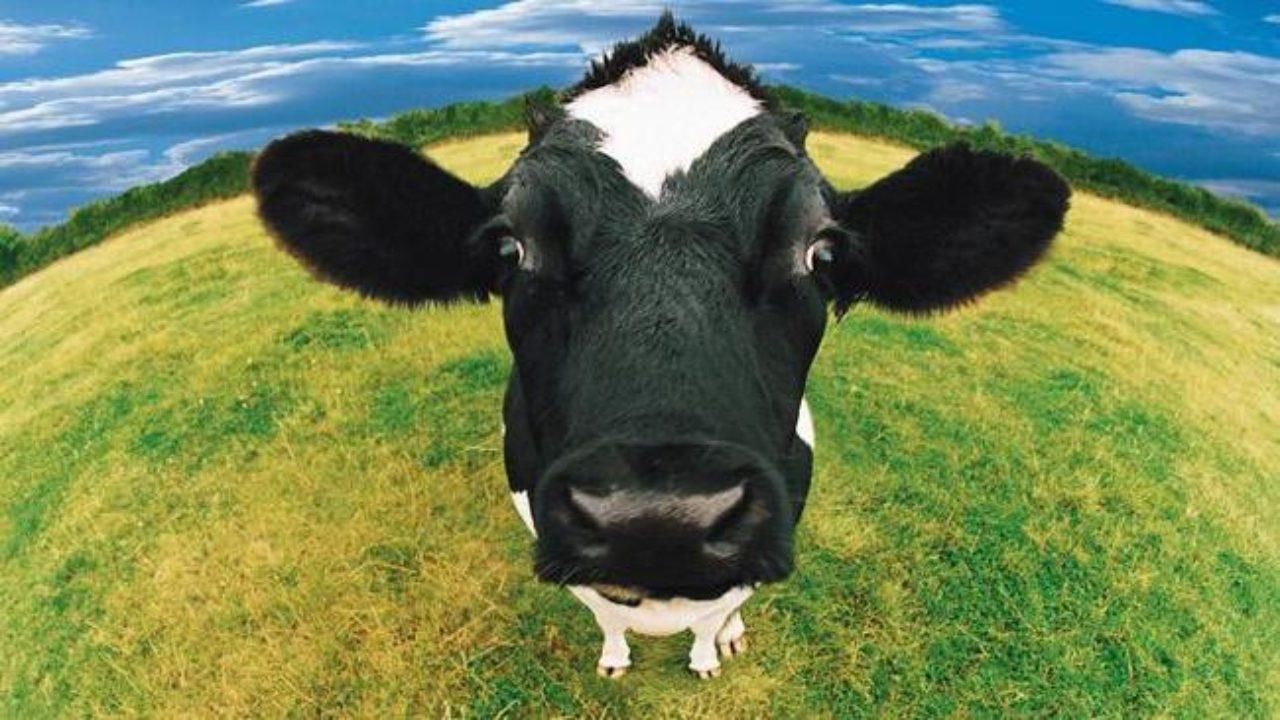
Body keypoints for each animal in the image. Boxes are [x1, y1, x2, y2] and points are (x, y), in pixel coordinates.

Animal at [251, 13, 1069, 679]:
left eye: (821, 253)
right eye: (512, 248)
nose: (658, 520)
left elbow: (717, 610)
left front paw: (710, 652)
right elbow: (604, 611)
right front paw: (616, 656)